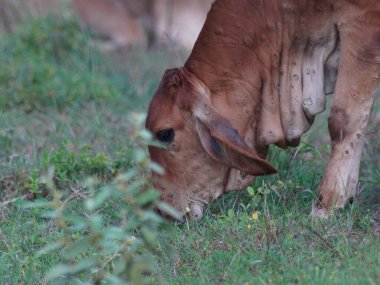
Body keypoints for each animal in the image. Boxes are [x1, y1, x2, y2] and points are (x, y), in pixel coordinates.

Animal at [146, 0, 380, 220]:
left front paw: (326, 206)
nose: (161, 210)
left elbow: (343, 120)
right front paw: (346, 197)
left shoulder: (363, 21)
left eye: (165, 134)